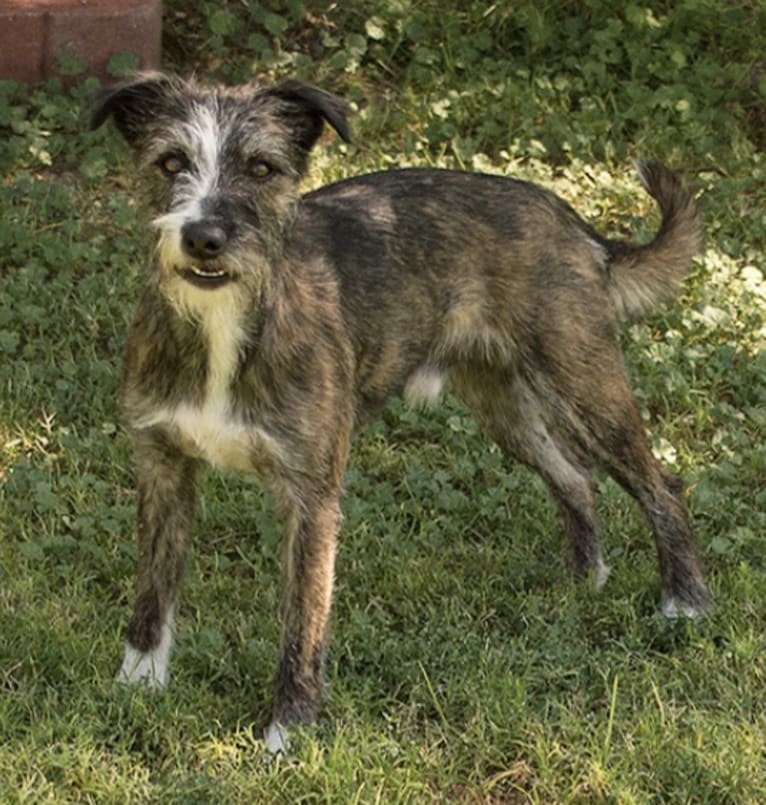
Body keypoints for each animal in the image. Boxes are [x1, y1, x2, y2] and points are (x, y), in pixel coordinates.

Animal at [91, 72, 712, 752]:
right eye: (170, 163)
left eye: (260, 168)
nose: (204, 237)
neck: (224, 326)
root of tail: (575, 224)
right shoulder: (162, 466)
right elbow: (153, 589)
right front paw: (137, 684)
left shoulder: (311, 498)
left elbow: (302, 623)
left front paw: (288, 729)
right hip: (501, 405)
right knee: (574, 476)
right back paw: (585, 580)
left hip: (585, 383)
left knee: (660, 483)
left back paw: (684, 601)